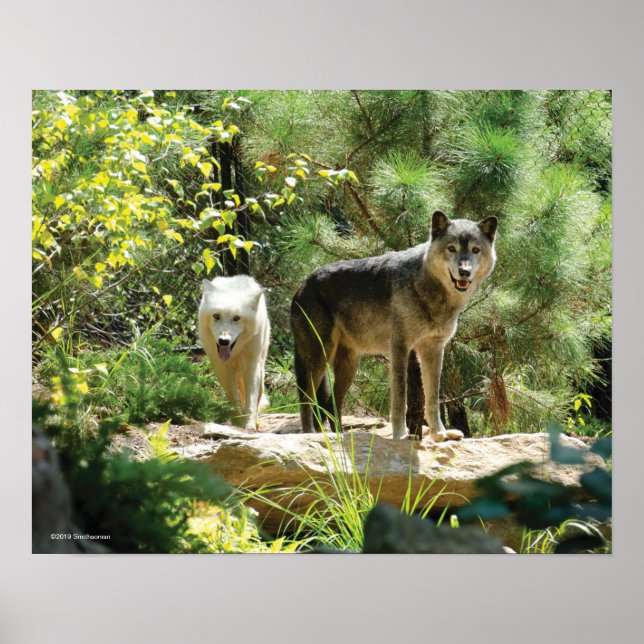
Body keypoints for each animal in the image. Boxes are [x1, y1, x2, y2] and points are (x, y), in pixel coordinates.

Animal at [198, 275, 270, 429]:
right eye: (216, 316)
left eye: (237, 318)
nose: (223, 341)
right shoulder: (222, 368)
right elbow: (233, 398)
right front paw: (238, 422)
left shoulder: (251, 365)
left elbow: (251, 400)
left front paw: (249, 424)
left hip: (260, 372)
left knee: (258, 396)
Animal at [291, 210, 497, 441]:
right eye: (451, 248)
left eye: (475, 250)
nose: (464, 271)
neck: (427, 288)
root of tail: (302, 285)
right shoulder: (399, 347)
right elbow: (400, 399)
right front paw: (400, 436)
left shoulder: (433, 350)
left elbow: (433, 399)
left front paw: (439, 434)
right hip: (319, 358)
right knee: (306, 400)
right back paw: (308, 436)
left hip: (349, 366)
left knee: (330, 404)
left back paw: (340, 438)